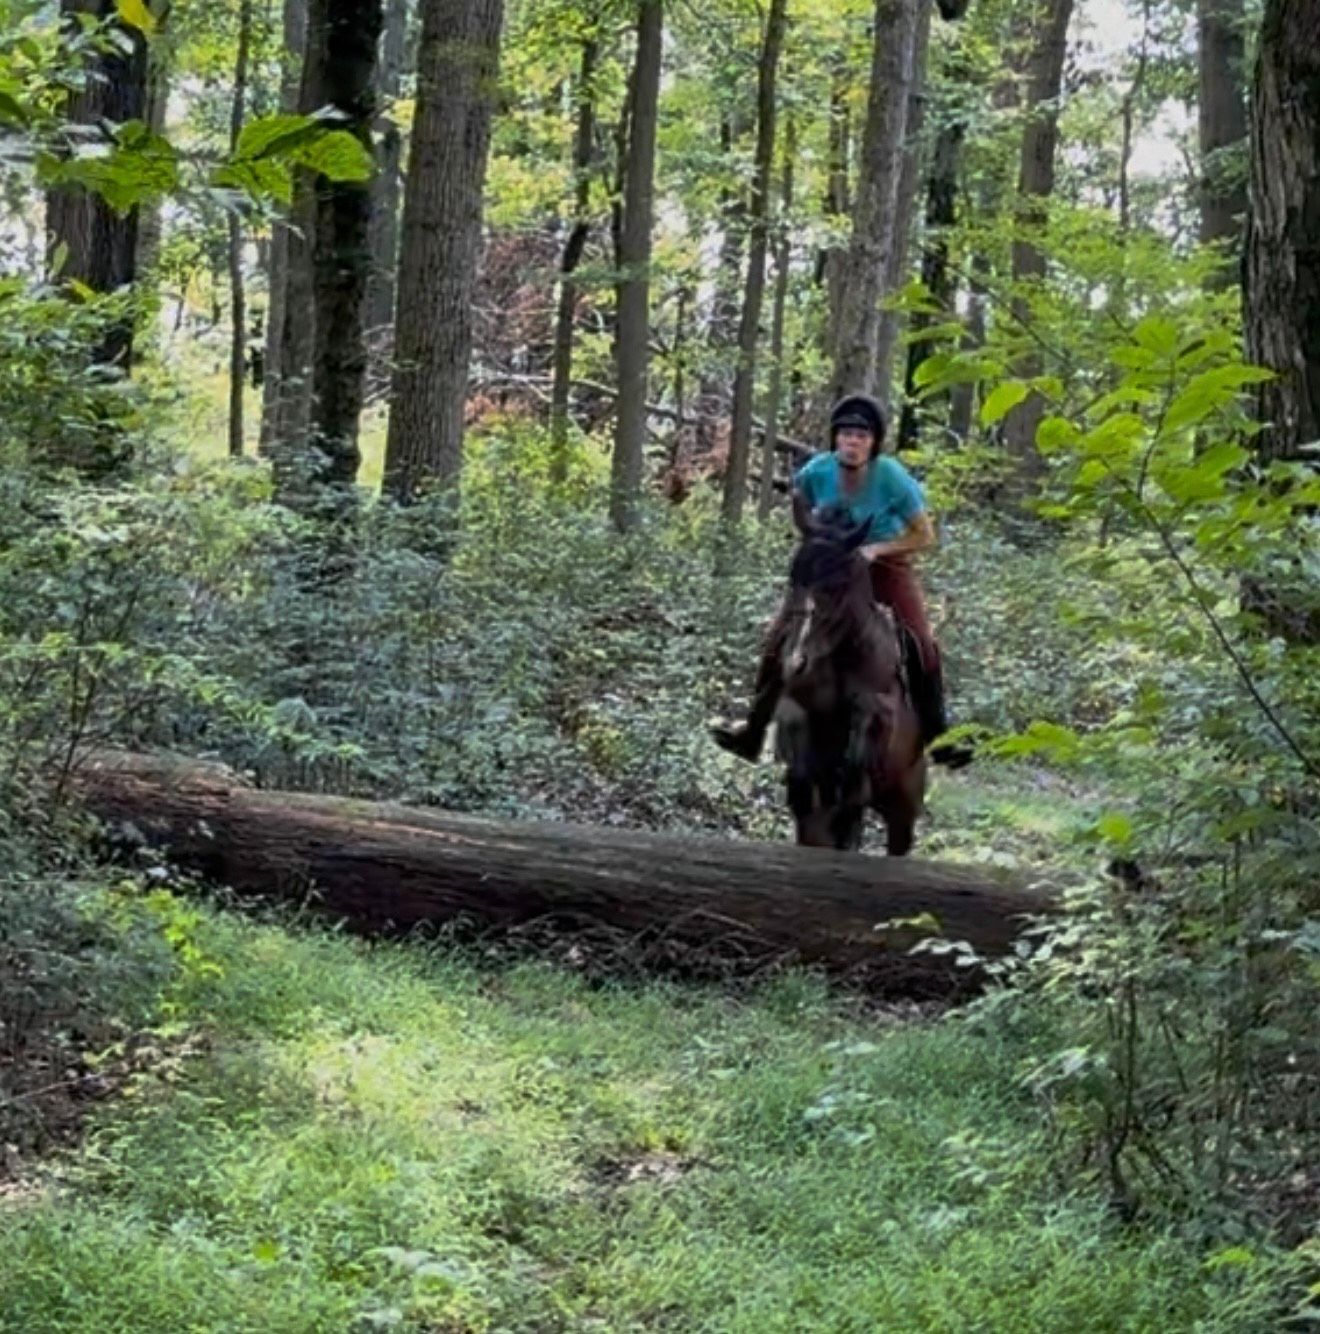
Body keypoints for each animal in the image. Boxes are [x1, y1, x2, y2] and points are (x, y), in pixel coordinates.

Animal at [772, 504, 928, 854]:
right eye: (794, 576)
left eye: (838, 584)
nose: (795, 660)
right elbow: (794, 715)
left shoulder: (882, 707)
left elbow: (868, 716)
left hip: (903, 813)